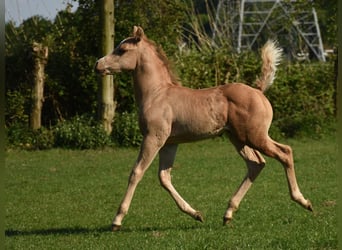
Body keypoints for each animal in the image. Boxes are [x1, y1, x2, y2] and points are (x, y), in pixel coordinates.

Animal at [95, 25, 312, 230]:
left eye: (122, 50)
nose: (98, 65)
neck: (156, 94)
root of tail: (258, 90)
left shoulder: (153, 138)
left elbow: (136, 172)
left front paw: (117, 220)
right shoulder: (169, 143)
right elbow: (164, 177)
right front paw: (196, 214)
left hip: (255, 136)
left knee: (285, 152)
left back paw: (303, 201)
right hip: (238, 138)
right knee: (256, 163)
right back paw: (228, 213)